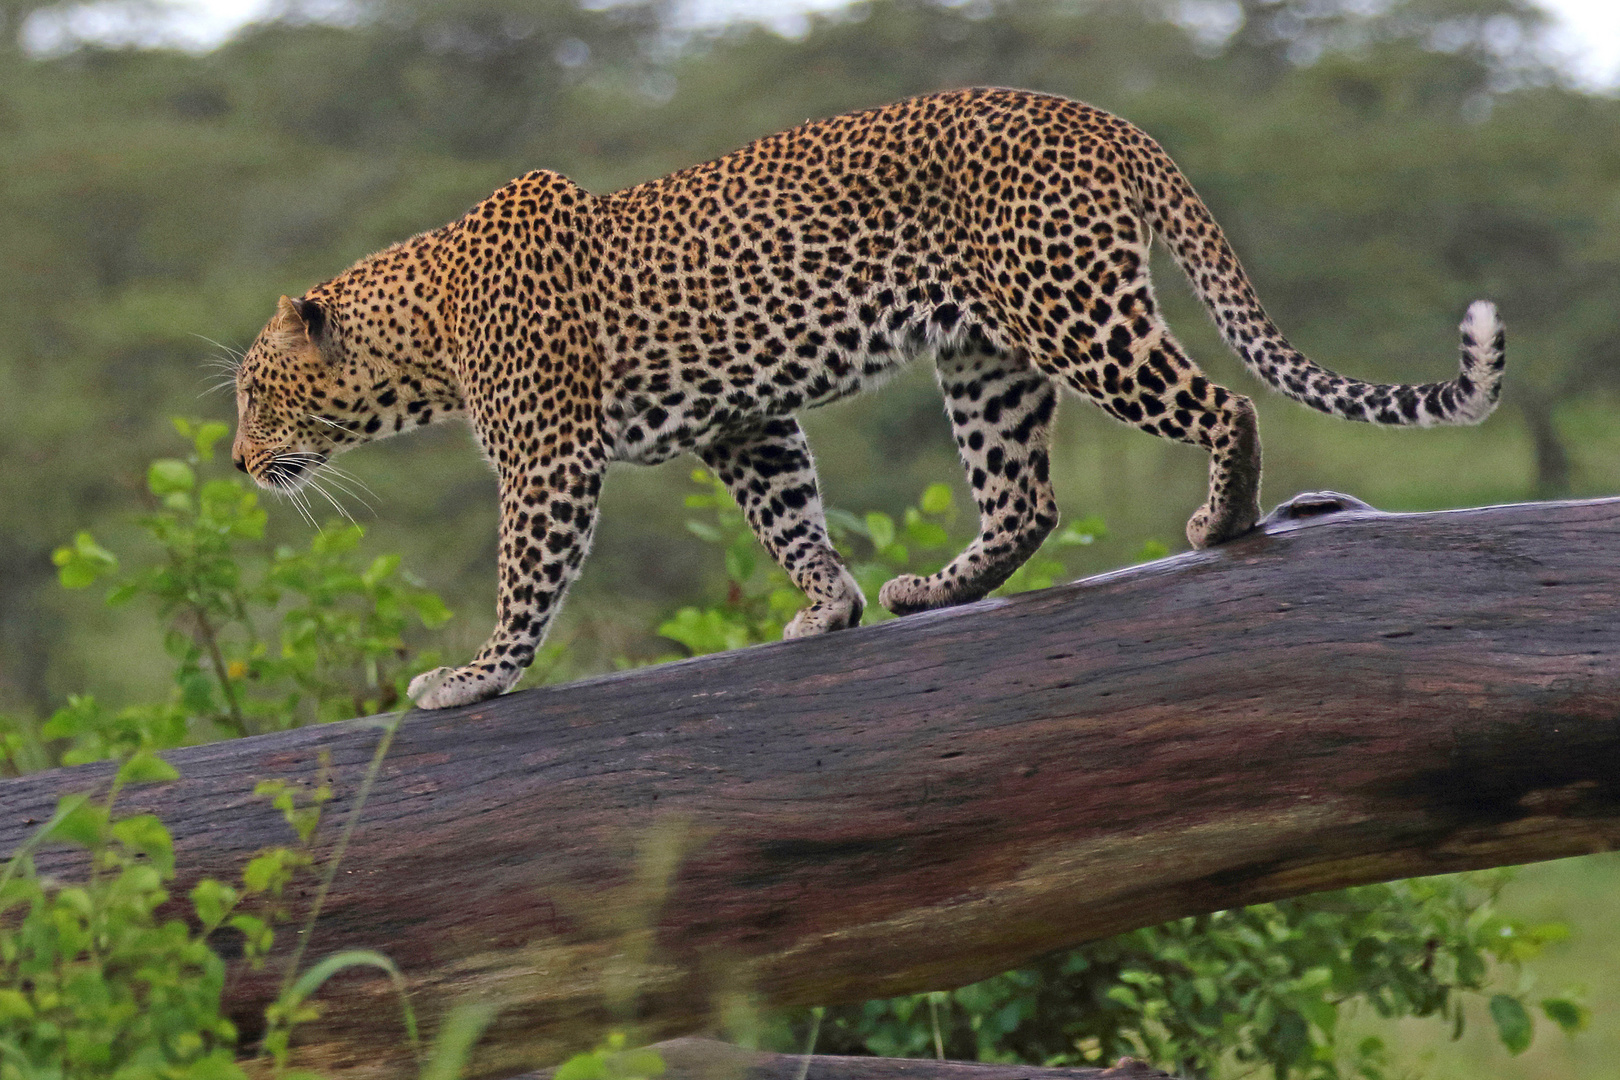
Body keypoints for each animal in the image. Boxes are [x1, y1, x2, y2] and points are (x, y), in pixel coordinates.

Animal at [228, 86, 1503, 709]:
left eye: (250, 391)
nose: (238, 463)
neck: (422, 336)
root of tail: (1098, 115)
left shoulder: (549, 461)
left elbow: (525, 580)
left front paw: (475, 677)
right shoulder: (745, 421)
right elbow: (790, 515)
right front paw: (828, 608)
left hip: (1070, 309)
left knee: (1224, 405)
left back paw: (1222, 517)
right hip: (985, 352)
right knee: (1026, 498)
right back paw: (937, 589)